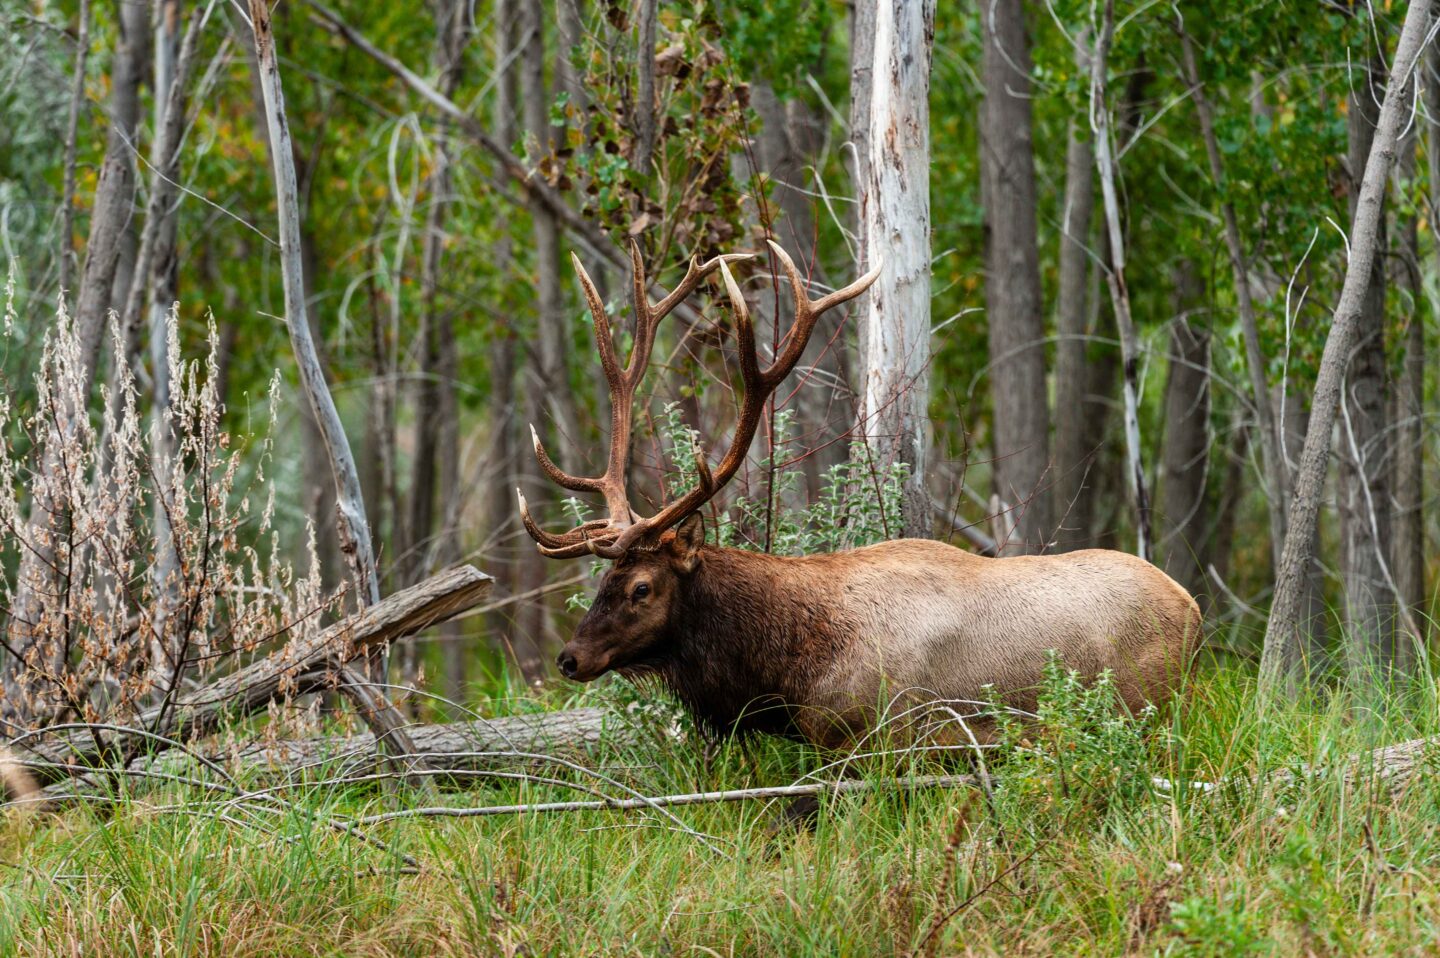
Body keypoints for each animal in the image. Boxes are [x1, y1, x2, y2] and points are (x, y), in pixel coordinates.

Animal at [518, 240, 1202, 752]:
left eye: (641, 588)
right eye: (602, 582)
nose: (569, 658)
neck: (788, 666)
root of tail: (1195, 612)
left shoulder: (876, 736)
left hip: (1145, 707)